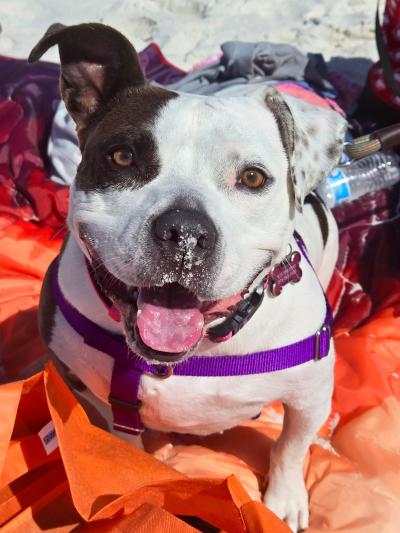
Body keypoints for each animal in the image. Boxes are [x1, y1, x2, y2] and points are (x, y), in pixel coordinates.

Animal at [28, 23, 346, 532]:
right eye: (122, 157)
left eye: (253, 178)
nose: (185, 232)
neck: (200, 352)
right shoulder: (82, 385)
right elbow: (122, 443)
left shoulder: (311, 394)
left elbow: (290, 448)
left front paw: (283, 501)